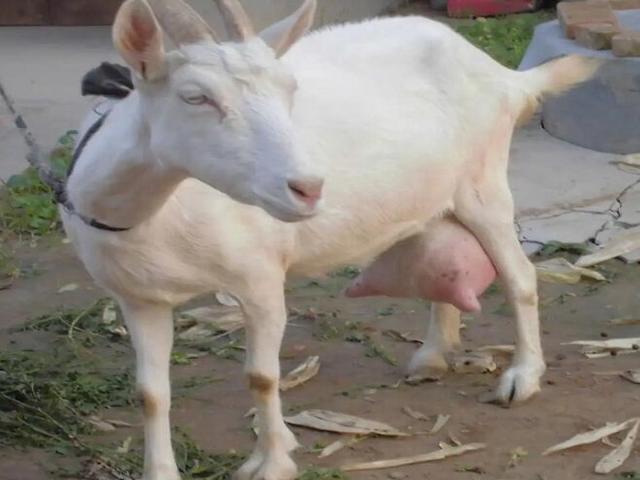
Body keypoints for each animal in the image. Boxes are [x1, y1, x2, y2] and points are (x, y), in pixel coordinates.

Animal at [60, 0, 600, 478]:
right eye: (195, 97)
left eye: (289, 89)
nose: (308, 187)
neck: (147, 214)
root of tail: (504, 76)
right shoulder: (139, 298)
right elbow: (151, 394)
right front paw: (160, 472)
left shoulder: (259, 278)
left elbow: (261, 376)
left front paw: (273, 462)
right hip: (431, 192)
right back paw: (432, 355)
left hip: (482, 183)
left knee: (520, 276)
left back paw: (522, 377)